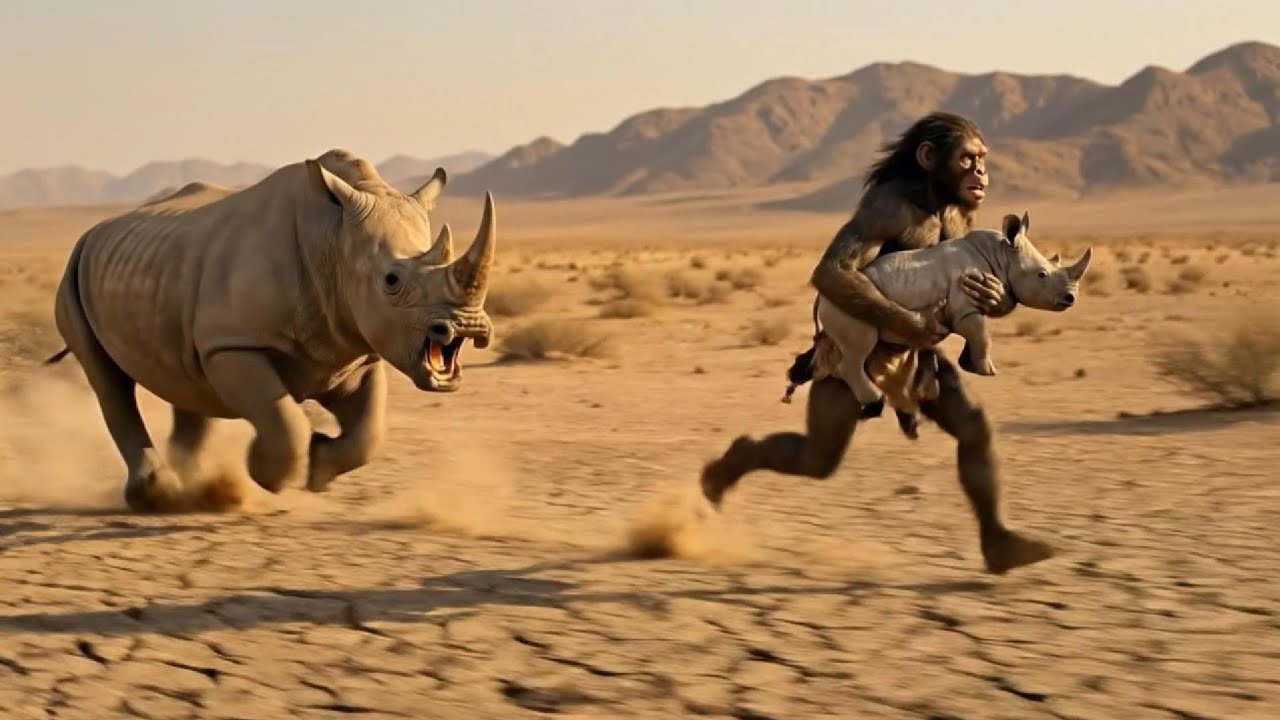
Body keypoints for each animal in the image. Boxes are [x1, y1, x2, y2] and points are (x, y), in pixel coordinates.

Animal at [43, 149, 499, 511]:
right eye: (391, 280)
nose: (469, 326)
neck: (333, 240)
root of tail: (95, 231)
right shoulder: (234, 344)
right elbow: (285, 422)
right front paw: (268, 476)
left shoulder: (354, 351)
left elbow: (369, 432)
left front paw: (319, 465)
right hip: (73, 273)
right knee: (107, 379)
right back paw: (158, 496)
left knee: (184, 383)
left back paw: (197, 492)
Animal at [813, 211, 1091, 429]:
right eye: (1042, 275)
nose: (1070, 298)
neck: (1002, 257)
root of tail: (821, 299)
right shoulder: (964, 307)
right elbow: (981, 334)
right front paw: (987, 371)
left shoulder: (973, 300)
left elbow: (980, 334)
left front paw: (969, 365)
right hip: (844, 307)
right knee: (859, 350)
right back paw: (874, 400)